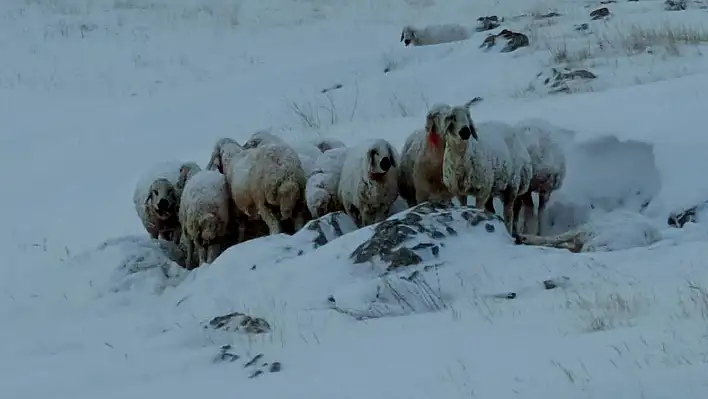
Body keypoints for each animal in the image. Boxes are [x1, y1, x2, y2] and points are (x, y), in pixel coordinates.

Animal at [442, 104, 532, 234]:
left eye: (468, 116)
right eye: (453, 117)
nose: (466, 131)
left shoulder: (482, 191)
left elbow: (477, 210)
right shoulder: (458, 192)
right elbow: (464, 208)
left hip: (512, 185)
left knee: (509, 214)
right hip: (495, 187)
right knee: (496, 210)